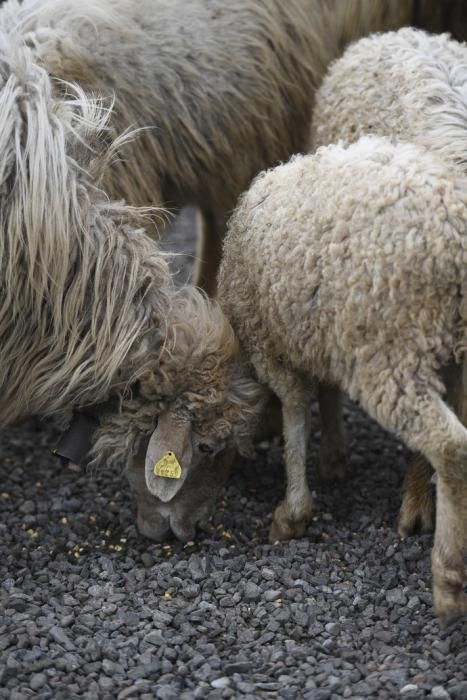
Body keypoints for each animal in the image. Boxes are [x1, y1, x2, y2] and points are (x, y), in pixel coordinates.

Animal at [219, 137, 467, 624]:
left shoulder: (270, 343)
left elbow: (296, 410)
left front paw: (293, 512)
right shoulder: (323, 336)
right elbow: (327, 393)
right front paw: (335, 456)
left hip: (391, 351)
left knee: (451, 446)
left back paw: (449, 576)